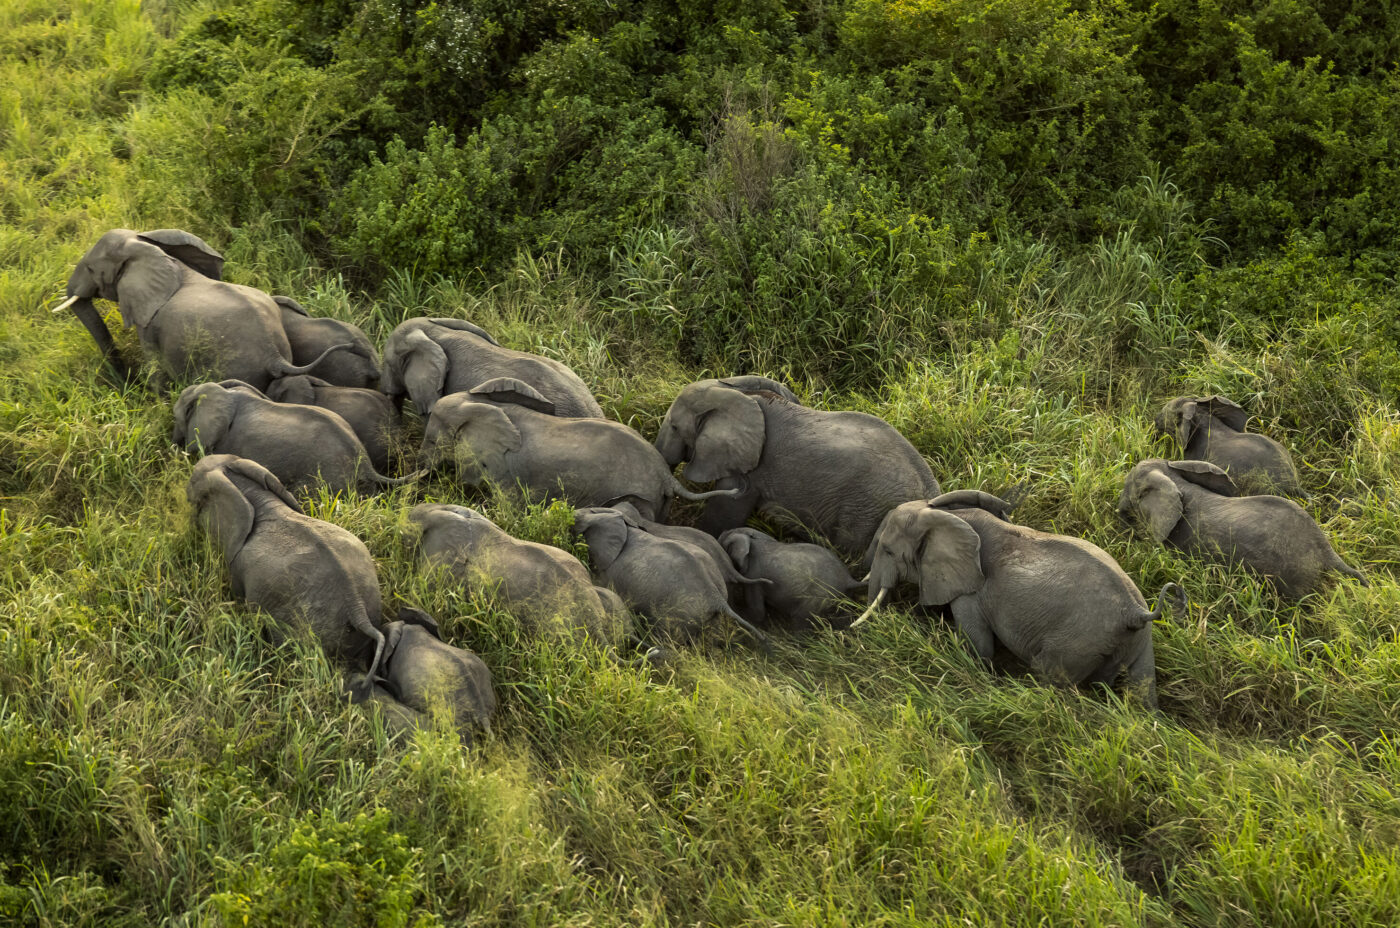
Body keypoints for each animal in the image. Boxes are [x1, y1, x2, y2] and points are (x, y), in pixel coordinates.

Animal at [53, 228, 353, 390]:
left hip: (234, 367)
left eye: (91, 269)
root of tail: (275, 356)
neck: (146, 246)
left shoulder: (150, 323)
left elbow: (155, 368)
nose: (128, 385)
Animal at [420, 382, 740, 521]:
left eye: (433, 441)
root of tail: (665, 473)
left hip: (642, 494)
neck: (485, 406)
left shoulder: (506, 472)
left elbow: (507, 509)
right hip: (660, 499)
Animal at [655, 380, 941, 558]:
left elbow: (720, 520)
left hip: (867, 509)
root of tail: (930, 489)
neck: (740, 397)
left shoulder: (746, 470)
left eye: (675, 427)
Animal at [720, 527, 863, 629]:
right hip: (841, 597)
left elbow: (757, 613)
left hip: (819, 598)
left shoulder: (755, 575)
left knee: (800, 621)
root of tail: (849, 580)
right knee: (842, 620)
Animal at [856, 491, 1182, 707]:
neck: (953, 517)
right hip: (1140, 642)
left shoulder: (973, 592)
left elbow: (978, 647)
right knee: (1144, 693)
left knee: (1051, 679)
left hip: (1077, 644)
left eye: (887, 550)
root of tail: (1136, 612)